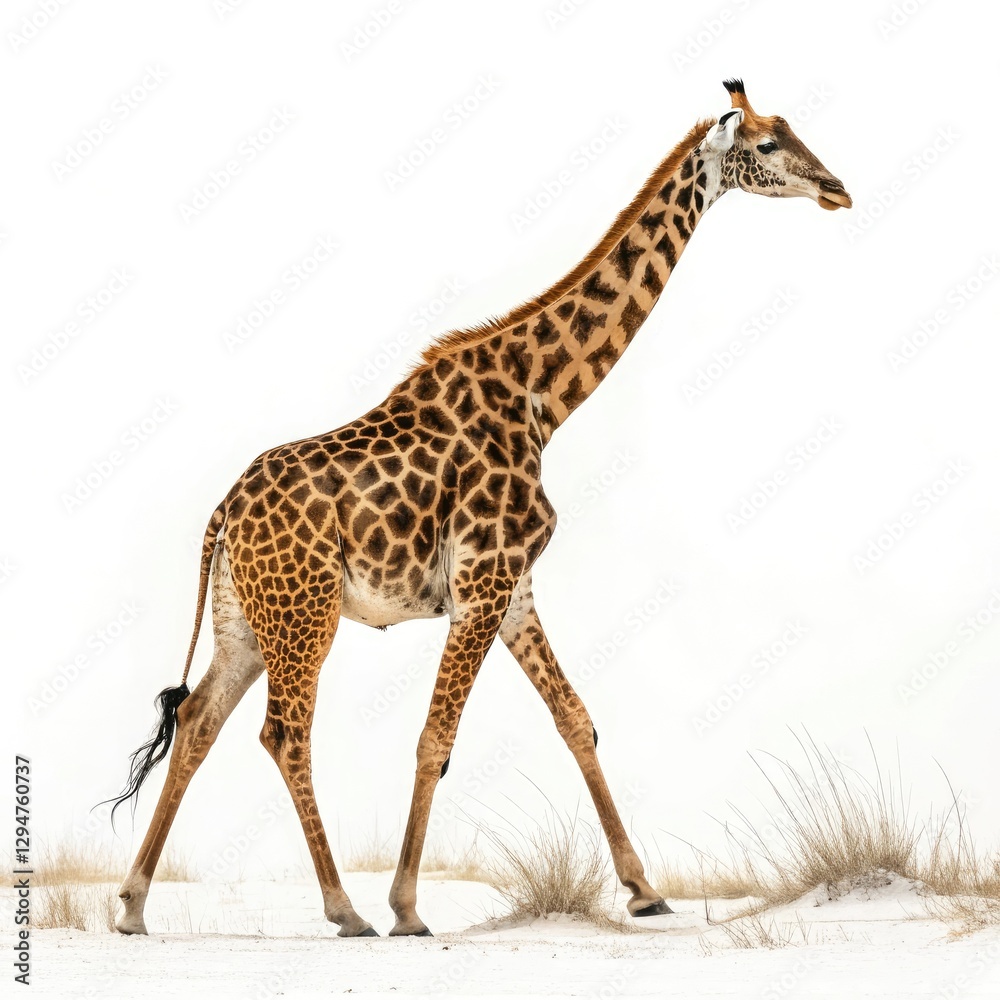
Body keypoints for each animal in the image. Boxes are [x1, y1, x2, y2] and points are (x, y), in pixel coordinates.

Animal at [109, 80, 851, 938]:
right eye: (766, 145)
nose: (838, 188)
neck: (543, 396)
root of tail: (222, 517)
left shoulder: (515, 586)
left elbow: (576, 718)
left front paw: (645, 889)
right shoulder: (482, 584)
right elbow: (437, 738)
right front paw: (406, 907)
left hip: (246, 621)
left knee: (198, 724)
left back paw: (132, 904)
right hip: (306, 613)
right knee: (284, 733)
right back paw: (345, 908)